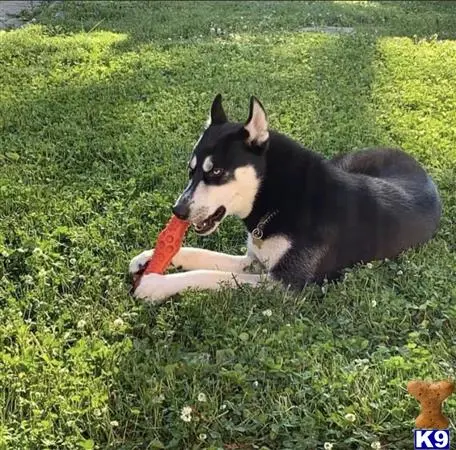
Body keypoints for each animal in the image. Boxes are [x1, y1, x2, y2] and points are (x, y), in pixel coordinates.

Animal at [129, 93, 442, 302]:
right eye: (190, 170)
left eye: (216, 171)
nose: (178, 211)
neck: (278, 197)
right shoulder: (253, 259)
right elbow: (202, 255)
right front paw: (149, 257)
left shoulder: (283, 283)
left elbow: (210, 276)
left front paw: (155, 285)